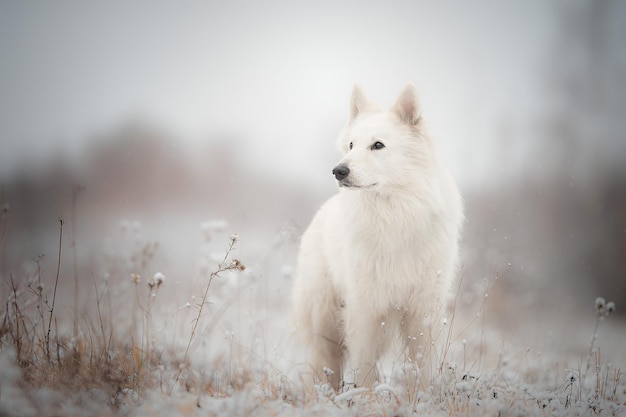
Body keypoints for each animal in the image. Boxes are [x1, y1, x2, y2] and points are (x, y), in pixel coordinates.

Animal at [290, 82, 460, 394]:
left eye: (377, 145)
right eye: (351, 145)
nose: (338, 171)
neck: (395, 217)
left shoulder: (422, 310)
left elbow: (421, 364)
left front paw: (420, 397)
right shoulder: (367, 308)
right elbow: (366, 363)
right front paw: (366, 397)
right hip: (325, 319)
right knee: (324, 363)